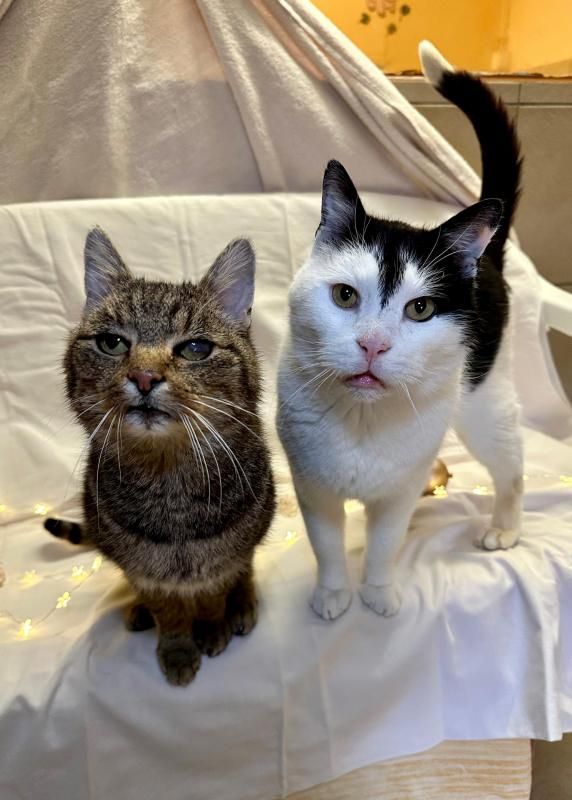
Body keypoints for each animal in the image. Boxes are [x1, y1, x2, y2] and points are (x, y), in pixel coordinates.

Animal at [45, 229, 275, 685]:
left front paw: (213, 627)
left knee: (247, 566)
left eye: (196, 348)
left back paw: (242, 603)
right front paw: (178, 648)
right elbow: (168, 611)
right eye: (112, 342)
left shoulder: (220, 563)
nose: (144, 376)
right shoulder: (145, 571)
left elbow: (214, 594)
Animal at [276, 41, 523, 621]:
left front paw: (378, 592)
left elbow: (385, 541)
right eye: (345, 296)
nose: (373, 344)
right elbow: (326, 544)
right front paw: (333, 594)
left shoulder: (398, 493)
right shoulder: (312, 489)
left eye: (421, 309)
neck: (363, 423)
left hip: (484, 404)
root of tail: (484, 258)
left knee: (512, 468)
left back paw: (505, 527)